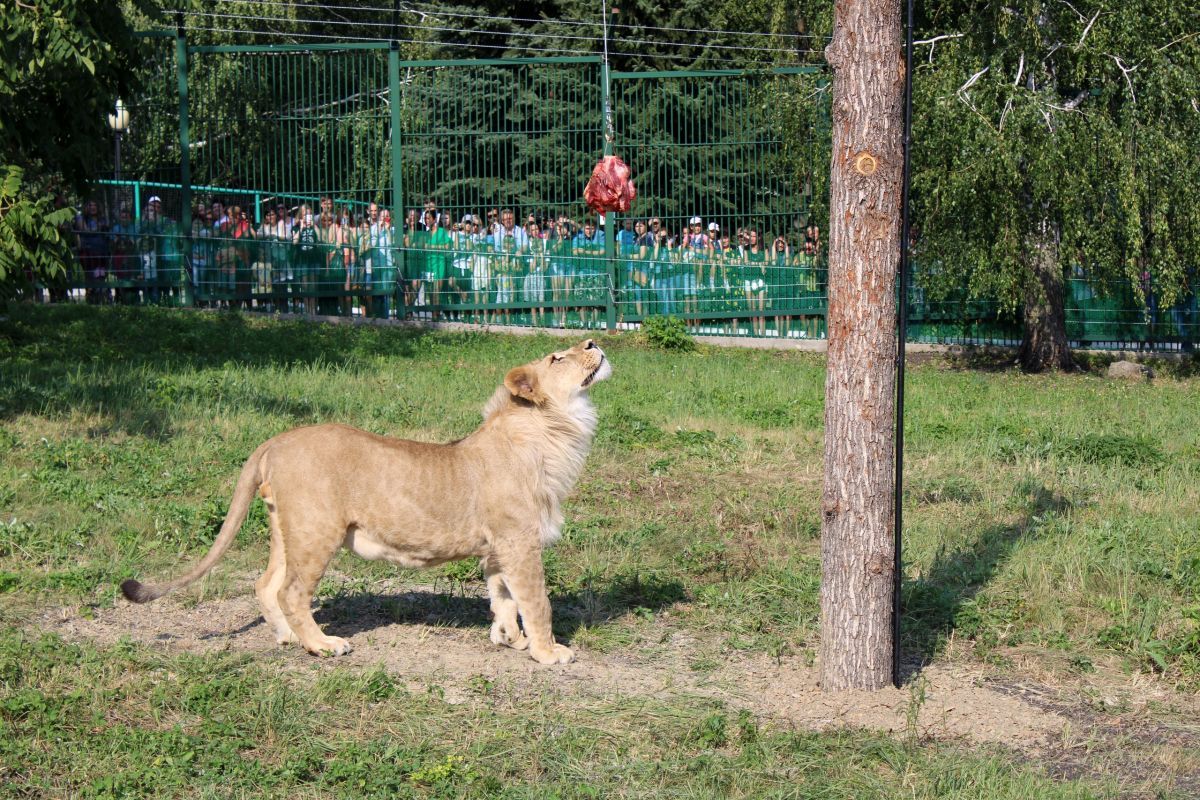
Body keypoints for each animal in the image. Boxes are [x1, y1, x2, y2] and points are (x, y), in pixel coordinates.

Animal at [119, 338, 609, 662]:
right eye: (557, 357)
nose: (592, 340)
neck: (553, 430)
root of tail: (275, 440)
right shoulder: (519, 540)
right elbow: (537, 600)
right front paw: (548, 651)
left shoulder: (498, 547)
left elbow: (503, 597)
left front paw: (510, 639)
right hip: (318, 530)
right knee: (292, 592)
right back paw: (321, 645)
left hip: (287, 529)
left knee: (267, 585)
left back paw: (288, 638)